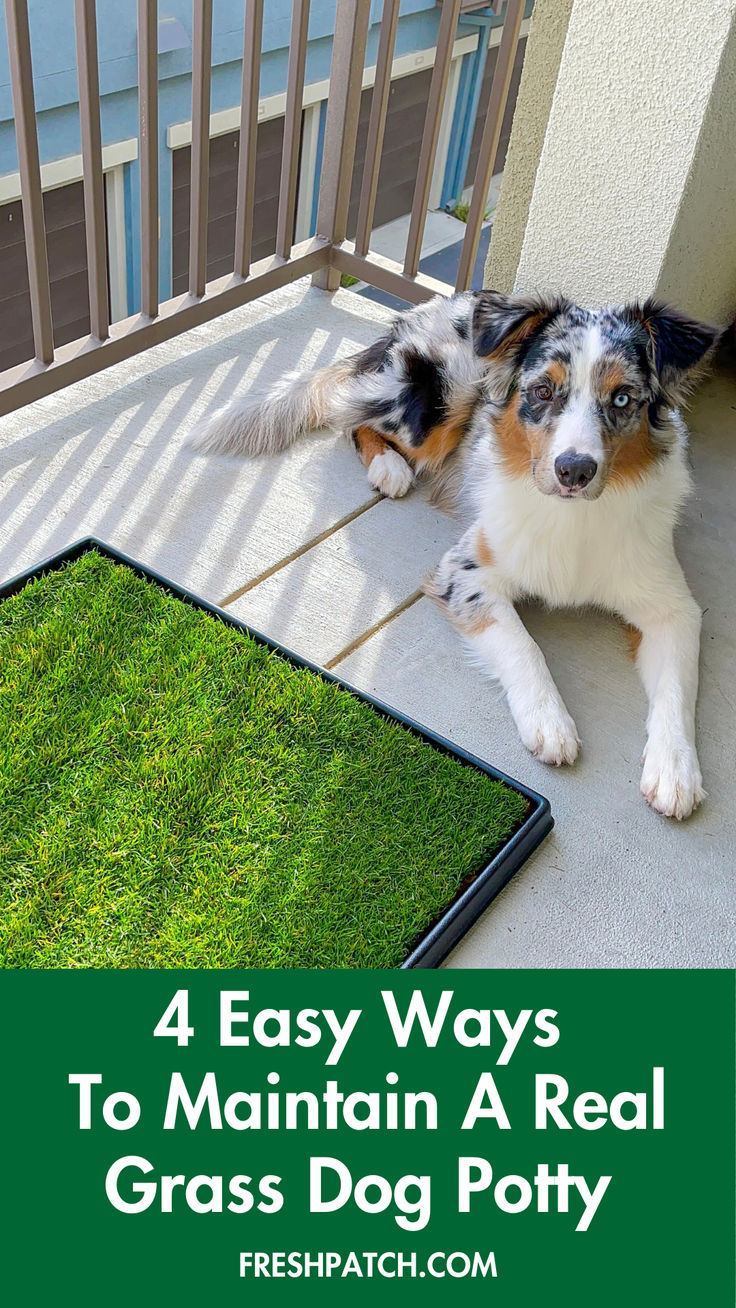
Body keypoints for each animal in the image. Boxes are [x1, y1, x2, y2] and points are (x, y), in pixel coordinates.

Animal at [192, 290, 721, 816]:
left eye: (622, 398)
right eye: (542, 392)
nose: (574, 470)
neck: (572, 518)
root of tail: (437, 303)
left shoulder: (673, 607)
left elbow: (678, 689)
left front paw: (675, 771)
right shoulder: (465, 572)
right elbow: (524, 647)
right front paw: (549, 723)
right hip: (441, 395)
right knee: (352, 419)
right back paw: (389, 468)